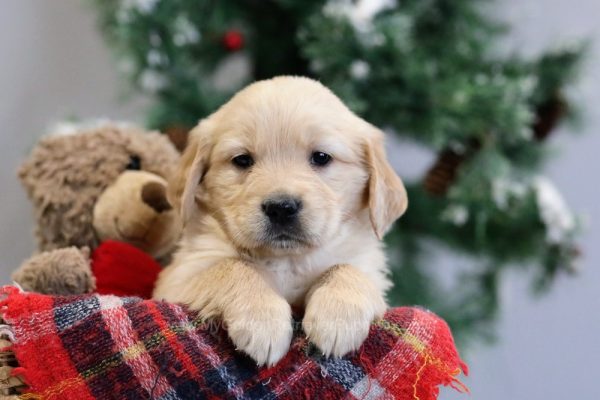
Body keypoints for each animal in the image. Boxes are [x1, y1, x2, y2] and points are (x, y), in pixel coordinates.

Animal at [154, 75, 408, 366]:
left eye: (321, 157)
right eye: (242, 160)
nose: (281, 208)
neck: (288, 259)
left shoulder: (370, 271)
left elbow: (346, 268)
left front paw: (339, 318)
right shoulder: (177, 278)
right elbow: (234, 266)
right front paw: (262, 321)